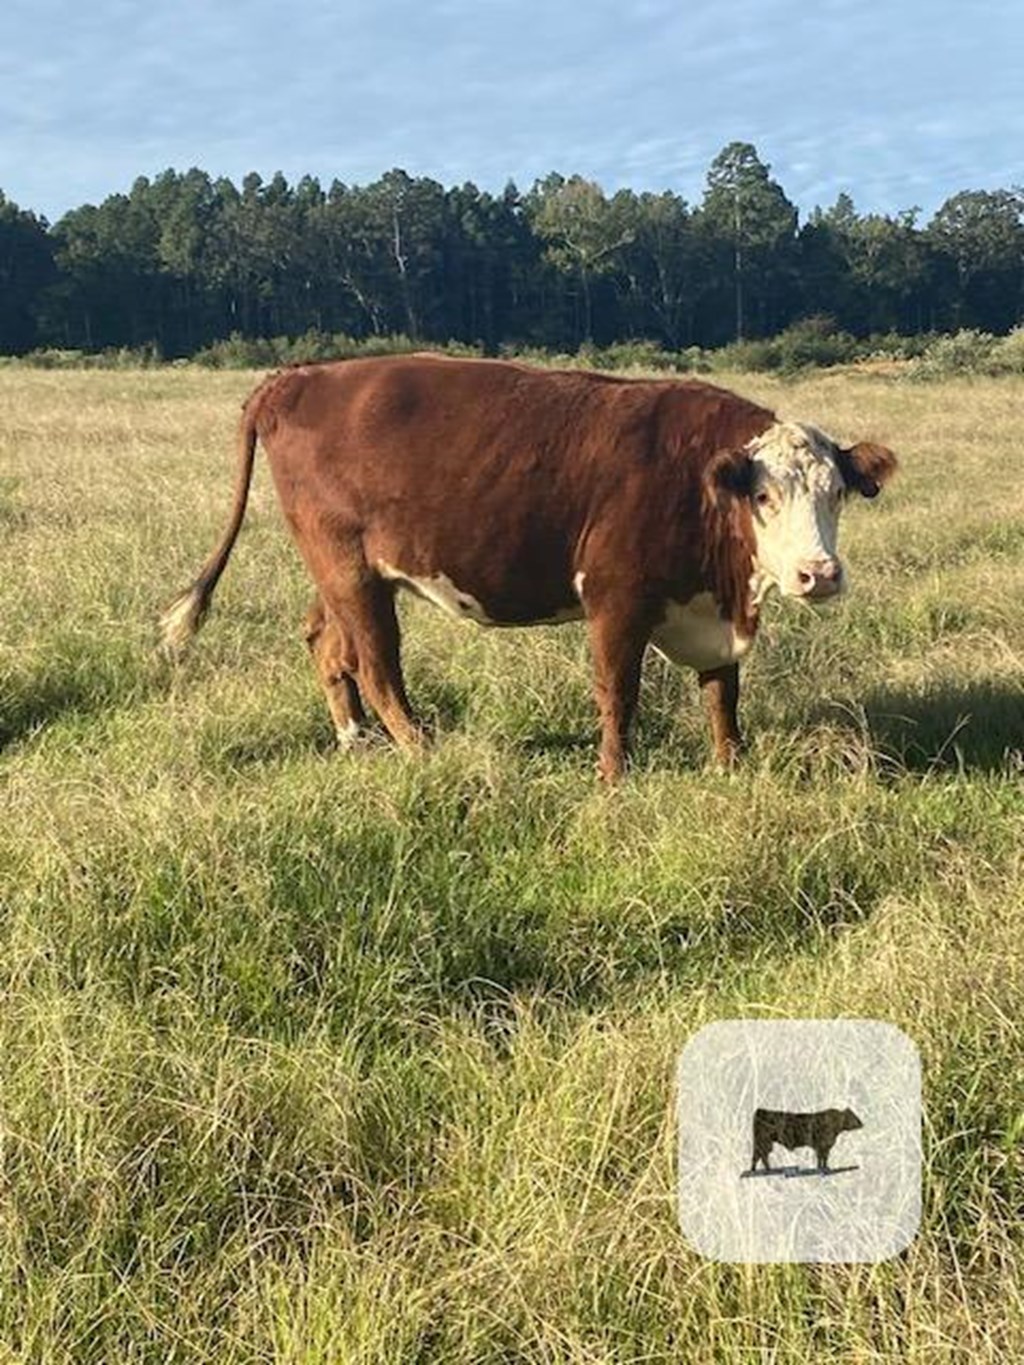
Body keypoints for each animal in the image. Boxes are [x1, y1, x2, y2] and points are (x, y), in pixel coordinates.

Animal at [162, 352, 895, 780]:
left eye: (836, 493)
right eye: (764, 496)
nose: (820, 574)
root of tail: (299, 376)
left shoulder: (711, 610)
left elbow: (723, 696)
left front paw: (731, 767)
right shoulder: (615, 598)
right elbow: (618, 694)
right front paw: (612, 780)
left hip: (351, 569)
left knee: (326, 642)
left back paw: (357, 739)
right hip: (346, 566)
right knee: (376, 663)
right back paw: (421, 750)